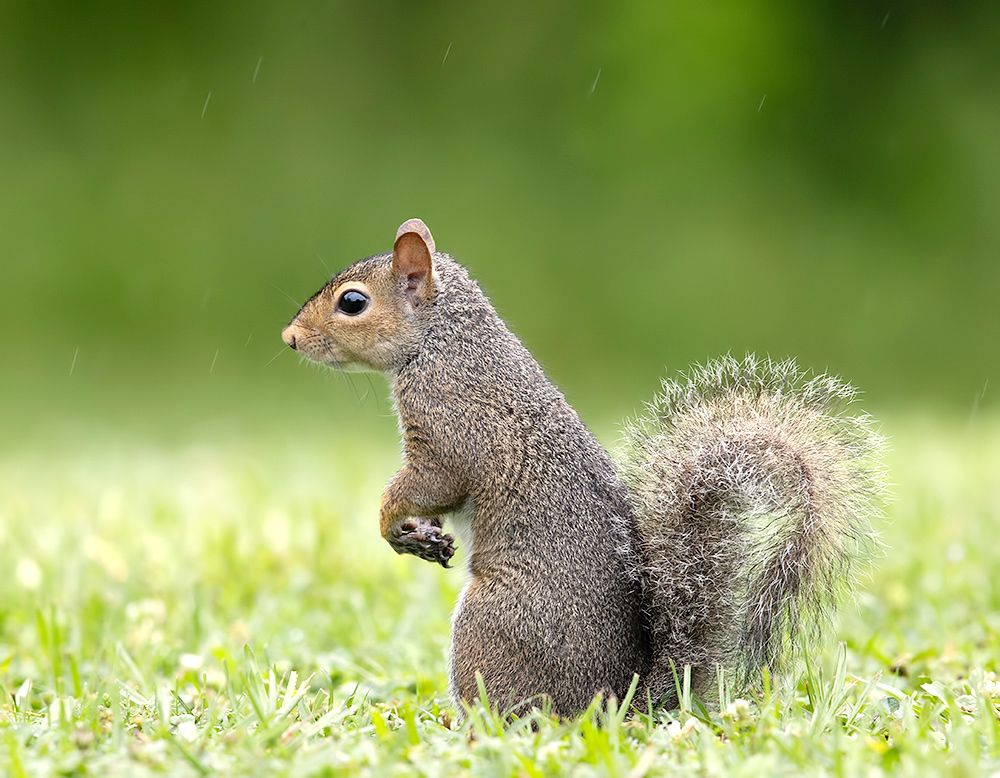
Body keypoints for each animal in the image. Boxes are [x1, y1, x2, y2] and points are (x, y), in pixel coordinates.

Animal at [281, 218, 884, 716]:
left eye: (352, 302)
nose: (289, 338)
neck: (444, 342)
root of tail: (620, 700)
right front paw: (421, 535)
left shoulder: (451, 428)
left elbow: (432, 482)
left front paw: (389, 523)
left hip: (491, 627)